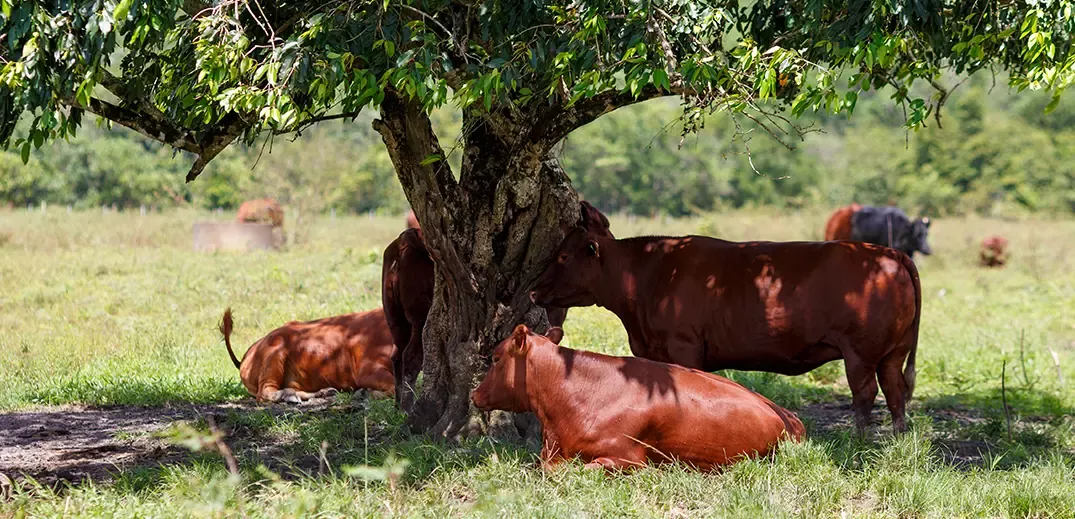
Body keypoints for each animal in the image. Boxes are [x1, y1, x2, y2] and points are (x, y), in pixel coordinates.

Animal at [219, 308, 396, 403]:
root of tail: (247, 354)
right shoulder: (368, 370)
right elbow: (396, 386)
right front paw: (365, 393)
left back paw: (321, 392)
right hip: (274, 351)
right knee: (264, 392)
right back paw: (286, 396)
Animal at [382, 200, 614, 410]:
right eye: (603, 223)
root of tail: (406, 239)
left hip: (397, 321)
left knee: (396, 355)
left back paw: (398, 404)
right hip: (419, 322)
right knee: (411, 358)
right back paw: (407, 406)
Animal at [530, 229, 922, 434]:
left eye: (563, 257)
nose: (533, 290)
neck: (648, 277)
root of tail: (887, 252)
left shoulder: (684, 347)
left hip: (860, 353)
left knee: (866, 393)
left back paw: (860, 440)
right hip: (893, 352)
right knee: (895, 391)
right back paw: (898, 438)